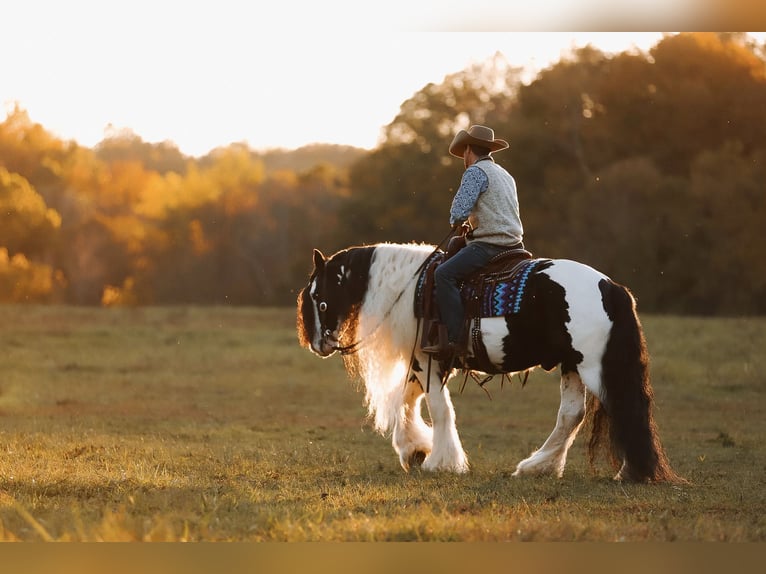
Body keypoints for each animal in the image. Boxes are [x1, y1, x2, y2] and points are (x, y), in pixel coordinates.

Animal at [296, 241, 688, 484]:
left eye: (319, 296)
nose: (318, 344)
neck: (407, 289)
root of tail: (611, 287)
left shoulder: (429, 360)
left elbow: (440, 409)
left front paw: (442, 461)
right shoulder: (425, 362)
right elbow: (409, 400)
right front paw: (415, 450)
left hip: (593, 367)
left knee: (622, 407)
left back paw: (626, 472)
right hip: (573, 366)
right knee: (572, 416)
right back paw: (538, 467)